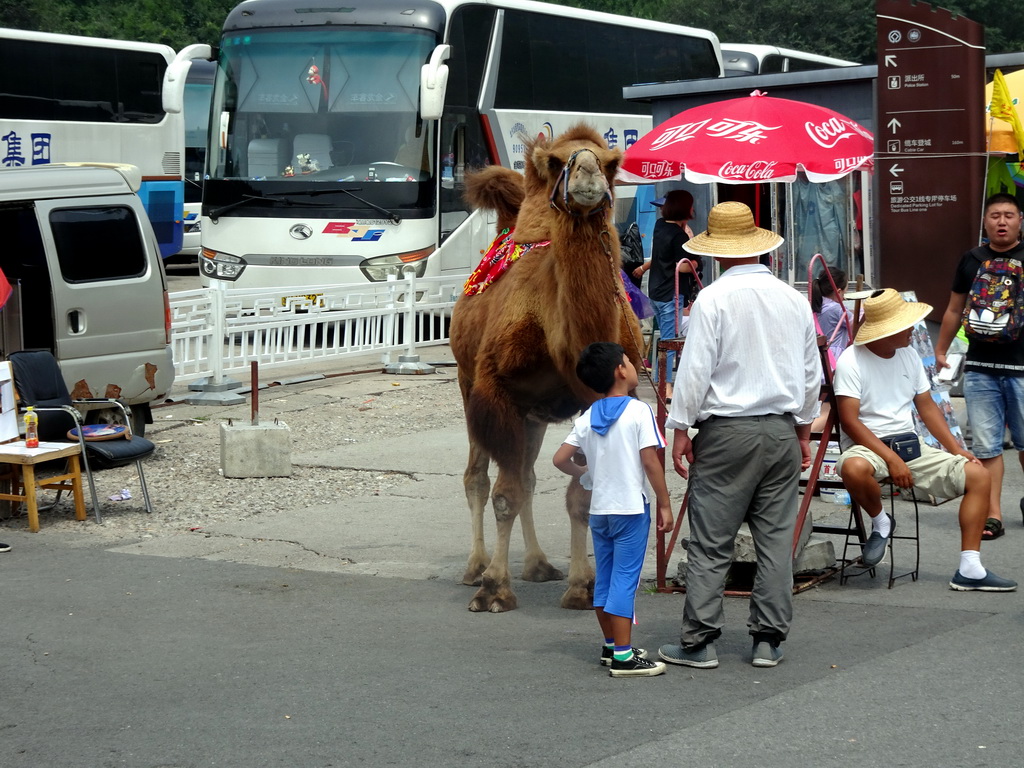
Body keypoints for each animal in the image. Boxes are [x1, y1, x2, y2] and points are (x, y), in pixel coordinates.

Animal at [448, 124, 638, 614]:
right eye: (557, 162)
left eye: (611, 163)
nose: (588, 175)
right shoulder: (495, 390)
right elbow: (504, 494)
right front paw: (494, 588)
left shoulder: (596, 399)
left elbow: (581, 495)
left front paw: (583, 586)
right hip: (467, 383)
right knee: (479, 478)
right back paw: (475, 566)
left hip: (532, 412)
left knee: (529, 476)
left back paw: (537, 564)